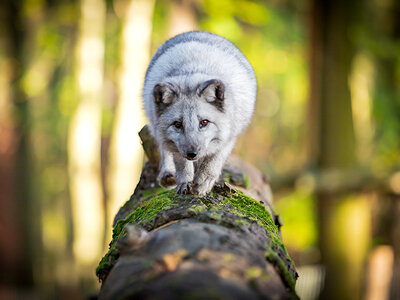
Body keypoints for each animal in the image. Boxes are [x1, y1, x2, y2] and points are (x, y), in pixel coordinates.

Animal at [143, 30, 256, 195]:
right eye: (177, 124)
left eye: (204, 122)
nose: (192, 153)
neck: (192, 73)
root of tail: (199, 32)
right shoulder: (178, 147)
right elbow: (181, 163)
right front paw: (185, 182)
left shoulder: (228, 137)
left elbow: (212, 162)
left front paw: (203, 182)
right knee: (165, 150)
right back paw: (168, 174)